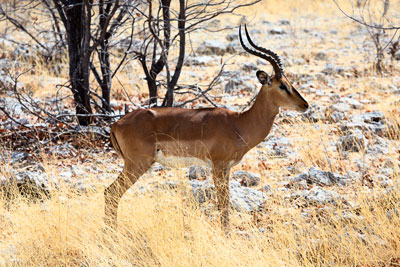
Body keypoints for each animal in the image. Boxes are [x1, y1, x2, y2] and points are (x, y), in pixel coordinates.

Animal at [104, 24, 310, 230]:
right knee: (111, 192)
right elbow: (223, 203)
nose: (305, 105)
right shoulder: (218, 167)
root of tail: (116, 124)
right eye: (282, 86)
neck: (239, 124)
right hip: (137, 164)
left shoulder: (227, 169)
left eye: (290, 83)